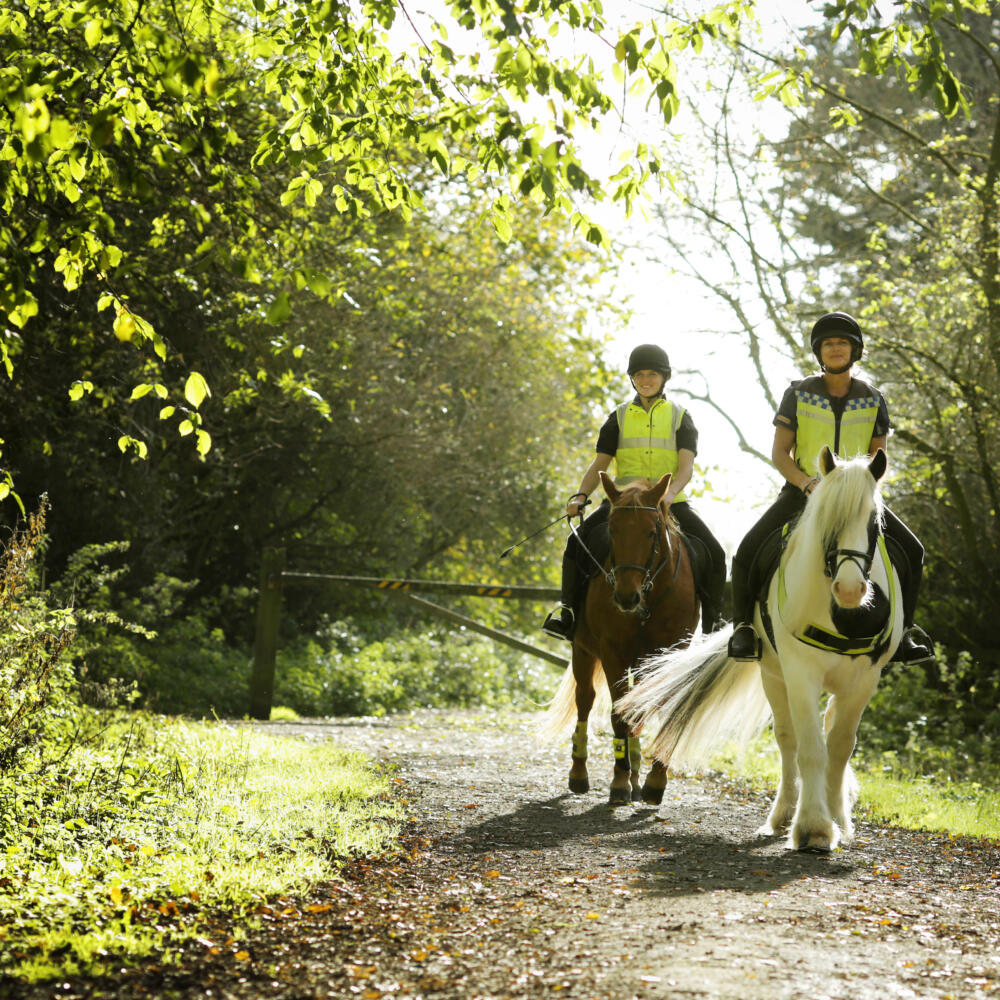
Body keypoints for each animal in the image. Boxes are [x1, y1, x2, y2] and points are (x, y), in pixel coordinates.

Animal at [544, 468, 700, 804]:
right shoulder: (613, 653)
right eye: (612, 531)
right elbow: (617, 714)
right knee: (585, 700)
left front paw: (654, 782)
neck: (649, 601)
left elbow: (652, 709)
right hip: (583, 650)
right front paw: (618, 782)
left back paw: (637, 776)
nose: (626, 597)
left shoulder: (668, 654)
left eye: (652, 533)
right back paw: (581, 774)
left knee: (636, 709)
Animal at [620, 448, 904, 852]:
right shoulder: (800, 673)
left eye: (875, 523)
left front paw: (836, 818)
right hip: (773, 675)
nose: (849, 590)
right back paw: (783, 815)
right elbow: (810, 749)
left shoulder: (865, 679)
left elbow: (840, 747)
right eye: (826, 521)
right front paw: (814, 827)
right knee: (788, 741)